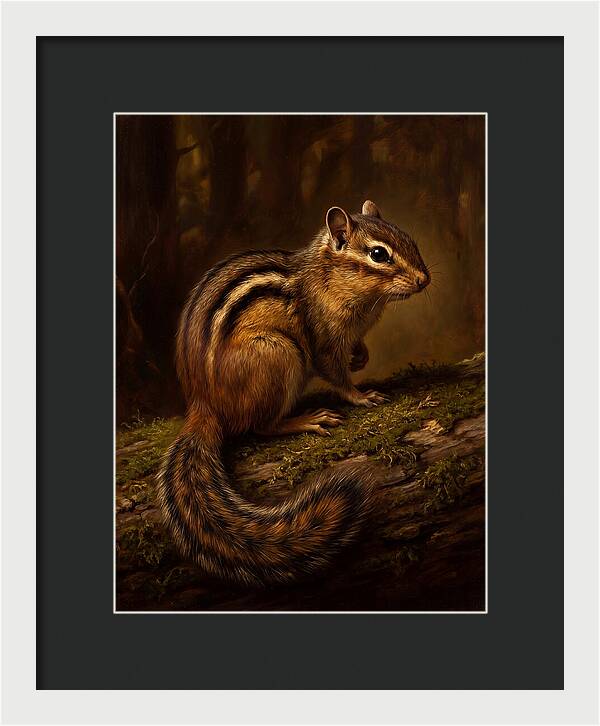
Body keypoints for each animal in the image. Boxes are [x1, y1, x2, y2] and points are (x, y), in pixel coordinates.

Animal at [157, 200, 430, 585]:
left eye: (409, 239)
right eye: (379, 254)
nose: (425, 279)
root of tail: (204, 404)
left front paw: (361, 357)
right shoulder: (323, 339)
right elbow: (335, 374)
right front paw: (361, 396)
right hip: (279, 354)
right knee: (260, 426)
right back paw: (307, 420)